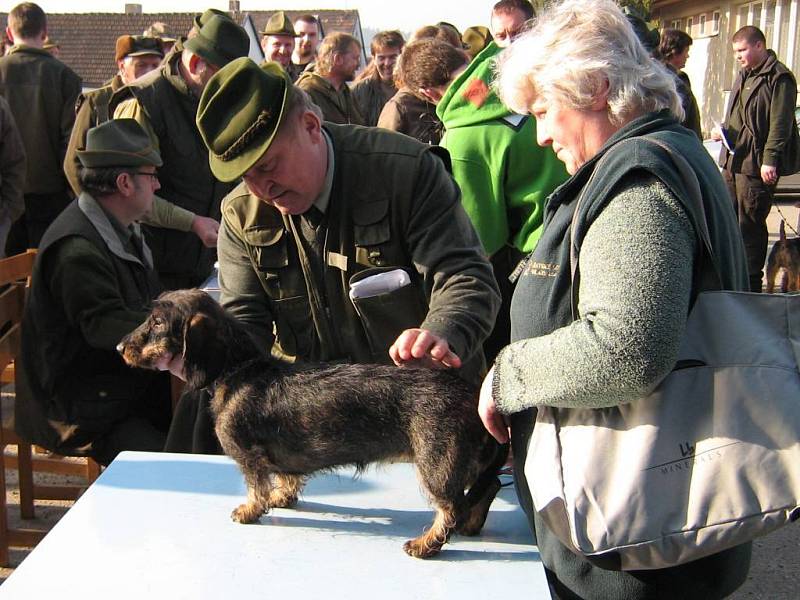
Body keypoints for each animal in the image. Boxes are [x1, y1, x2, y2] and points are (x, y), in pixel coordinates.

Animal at [119, 290, 506, 556]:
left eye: (157, 323)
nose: (120, 347)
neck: (240, 369)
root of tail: (472, 395)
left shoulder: (248, 457)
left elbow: (255, 486)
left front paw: (249, 510)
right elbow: (286, 477)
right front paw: (282, 496)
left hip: (436, 464)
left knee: (451, 508)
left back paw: (426, 544)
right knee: (487, 487)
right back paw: (472, 524)